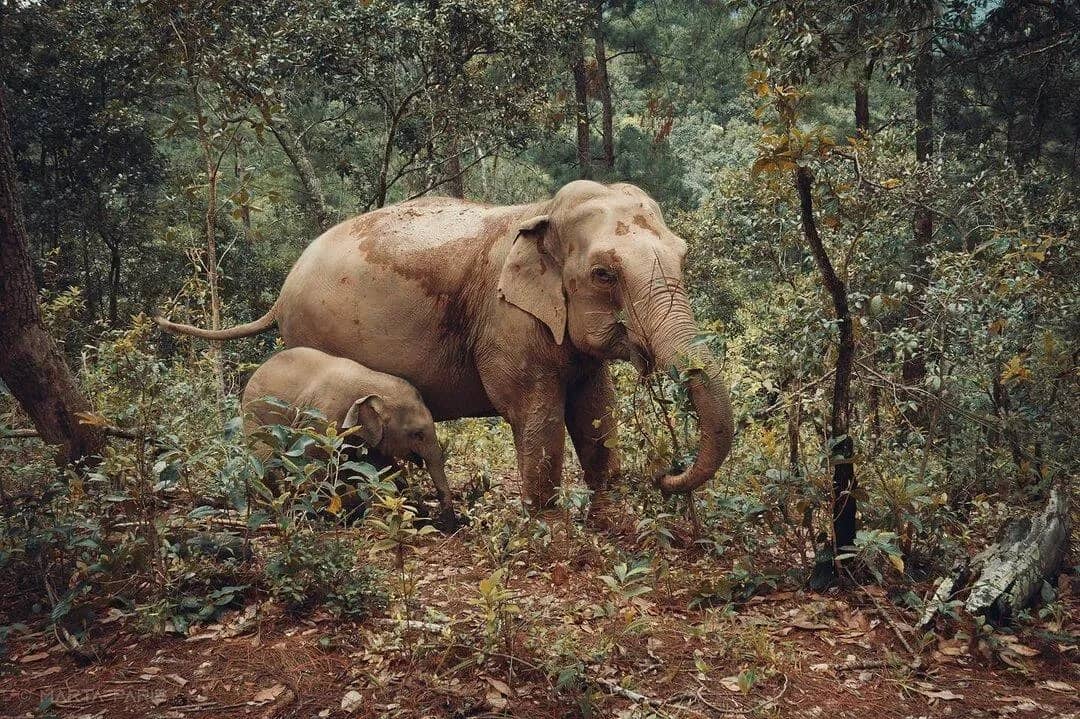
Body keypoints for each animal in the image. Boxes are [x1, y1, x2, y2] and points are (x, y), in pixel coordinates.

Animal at [241, 346, 455, 523]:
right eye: (417, 434)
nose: (448, 523)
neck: (372, 380)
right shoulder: (321, 421)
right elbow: (316, 465)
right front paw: (321, 516)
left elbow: (382, 466)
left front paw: (415, 512)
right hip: (254, 420)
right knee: (266, 460)